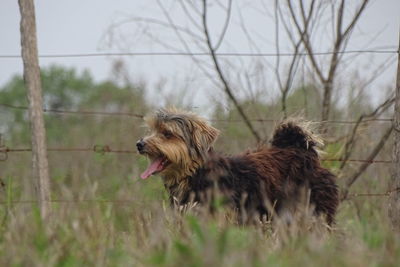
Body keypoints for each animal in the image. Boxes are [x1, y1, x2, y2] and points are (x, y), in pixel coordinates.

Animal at [136, 108, 340, 225]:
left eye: (167, 134)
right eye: (152, 130)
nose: (139, 144)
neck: (197, 172)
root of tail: (302, 151)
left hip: (314, 209)